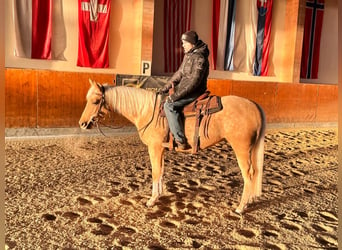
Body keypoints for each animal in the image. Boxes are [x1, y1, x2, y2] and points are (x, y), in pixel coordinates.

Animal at [79, 79, 266, 213]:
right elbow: (161, 171)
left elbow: (155, 172)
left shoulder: (154, 148)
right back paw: (249, 201)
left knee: (248, 174)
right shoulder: (161, 149)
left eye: (95, 101)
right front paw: (159, 195)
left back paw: (241, 207)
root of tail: (254, 105)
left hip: (241, 149)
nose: (82, 124)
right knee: (255, 172)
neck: (148, 112)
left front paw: (151, 200)